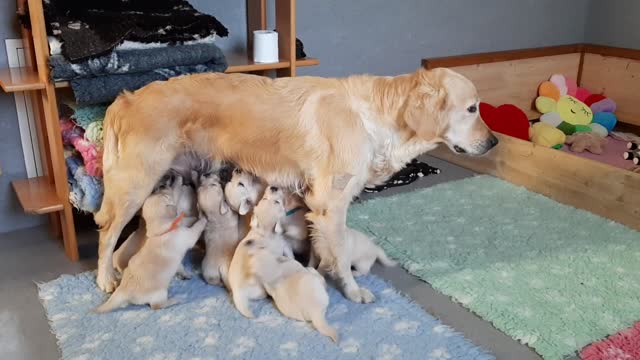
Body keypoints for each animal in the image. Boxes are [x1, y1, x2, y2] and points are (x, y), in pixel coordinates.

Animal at [95, 183, 206, 312]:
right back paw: (176, 300)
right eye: (166, 196)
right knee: (156, 306)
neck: (159, 231)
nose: (162, 186)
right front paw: (203, 218)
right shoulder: (186, 235)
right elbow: (195, 228)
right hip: (159, 294)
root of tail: (124, 291)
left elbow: (181, 266)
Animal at [228, 186, 292, 318]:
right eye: (277, 202)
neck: (264, 231)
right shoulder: (283, 245)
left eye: (264, 198)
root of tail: (237, 292)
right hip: (258, 287)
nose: (274, 187)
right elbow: (289, 253)